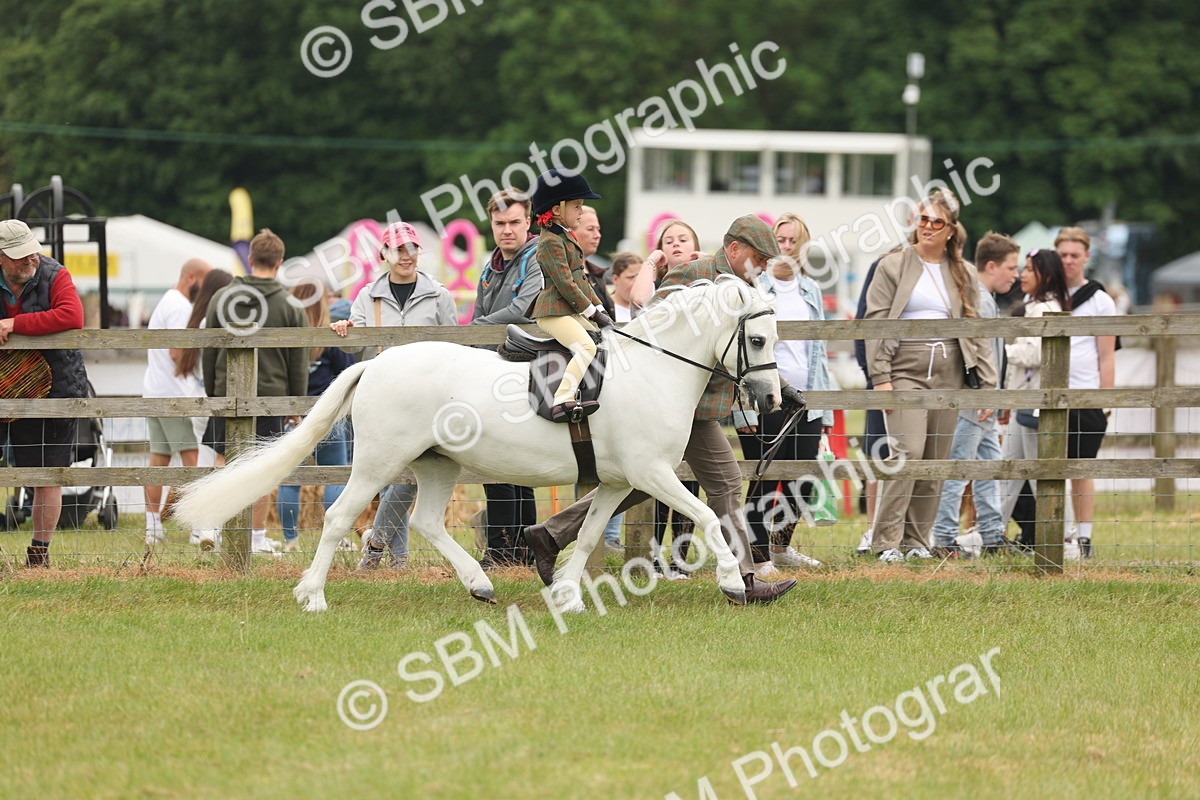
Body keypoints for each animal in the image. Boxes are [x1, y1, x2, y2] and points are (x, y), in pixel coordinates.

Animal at [174, 278, 781, 613]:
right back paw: (315, 596)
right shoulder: (651, 473)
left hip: (438, 465)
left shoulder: (616, 481)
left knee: (426, 522)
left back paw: (480, 584)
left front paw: (566, 595)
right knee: (343, 516)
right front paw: (733, 582)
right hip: (378, 463)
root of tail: (376, 363)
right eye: (756, 339)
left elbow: (587, 536)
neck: (654, 369)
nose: (773, 396)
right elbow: (708, 515)